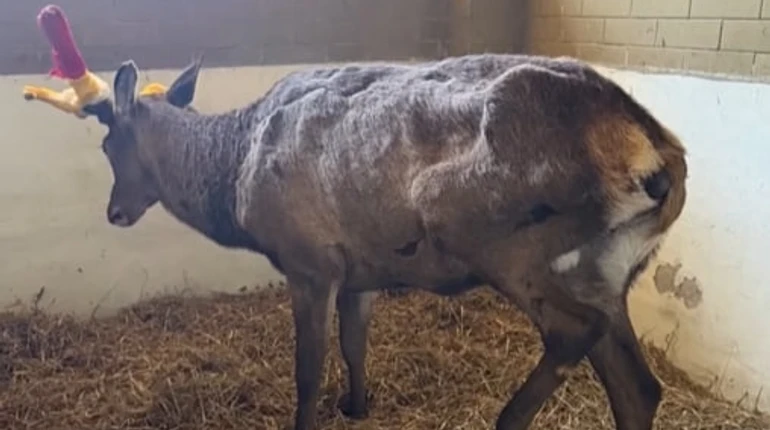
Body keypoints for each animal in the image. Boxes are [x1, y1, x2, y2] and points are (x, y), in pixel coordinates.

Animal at [72, 53, 687, 430]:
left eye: (107, 144)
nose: (115, 212)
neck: (234, 179)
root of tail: (658, 157)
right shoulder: (361, 268)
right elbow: (354, 343)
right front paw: (357, 406)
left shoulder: (309, 260)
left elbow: (308, 367)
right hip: (605, 268)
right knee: (637, 385)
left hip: (498, 239)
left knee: (574, 331)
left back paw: (507, 419)